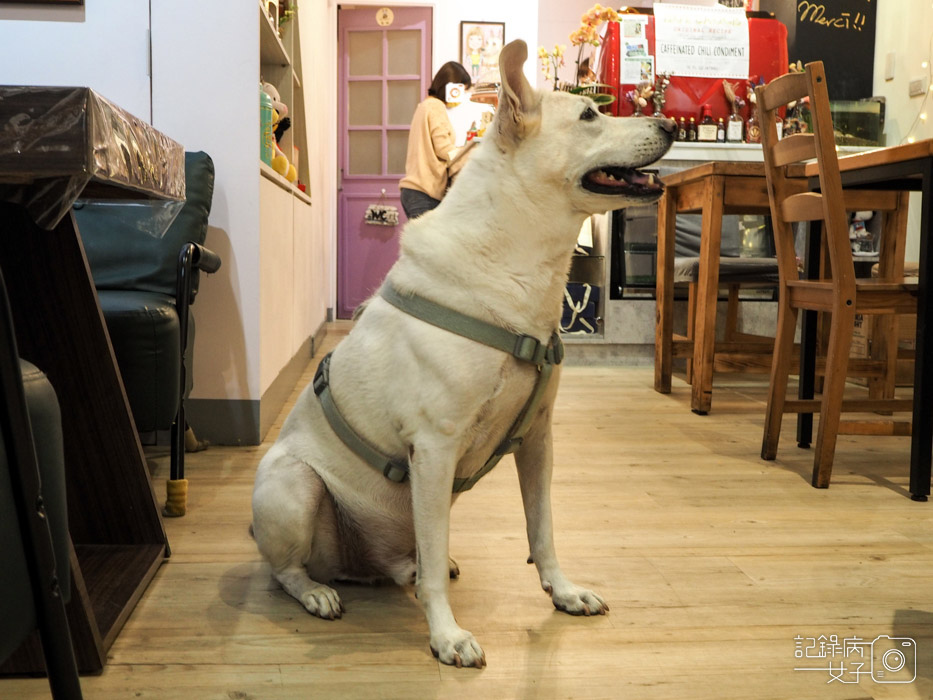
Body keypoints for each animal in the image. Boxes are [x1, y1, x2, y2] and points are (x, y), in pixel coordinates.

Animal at [251, 38, 672, 668]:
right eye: (590, 116)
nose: (670, 122)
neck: (519, 263)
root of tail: (353, 566)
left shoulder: (538, 439)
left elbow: (542, 529)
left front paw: (563, 591)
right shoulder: (434, 447)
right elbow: (438, 572)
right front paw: (447, 636)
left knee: (411, 559)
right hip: (294, 486)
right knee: (287, 570)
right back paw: (319, 593)